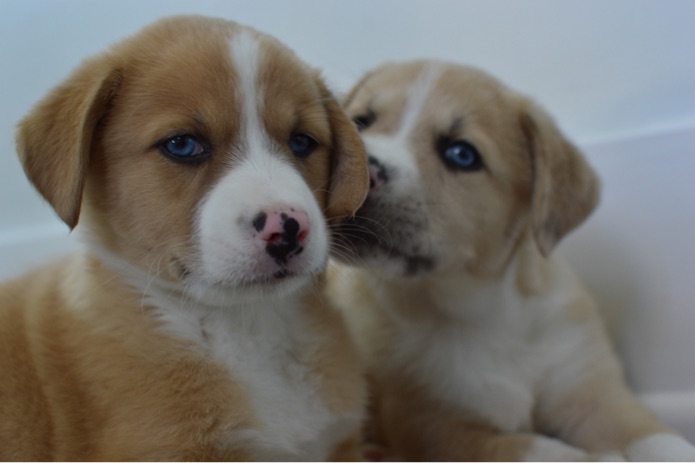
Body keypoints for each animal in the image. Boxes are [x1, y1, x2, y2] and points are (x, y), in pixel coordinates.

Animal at [328, 59, 695, 462]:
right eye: (359, 123)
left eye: (462, 153)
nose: (365, 173)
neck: (487, 310)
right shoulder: (438, 429)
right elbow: (548, 450)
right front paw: (603, 458)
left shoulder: (596, 395)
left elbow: (663, 439)